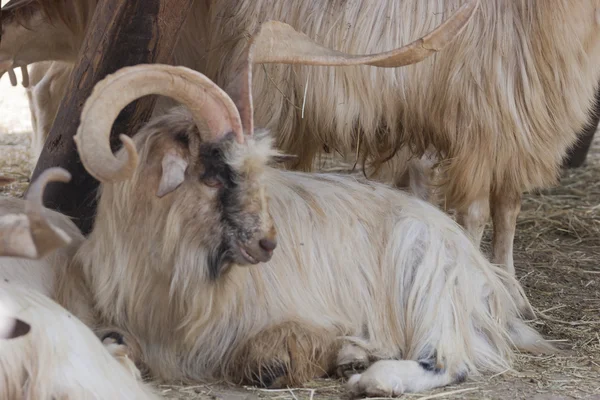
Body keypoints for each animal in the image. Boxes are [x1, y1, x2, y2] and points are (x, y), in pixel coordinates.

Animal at [63, 23, 552, 396]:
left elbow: (271, 360)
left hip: (427, 275)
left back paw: (373, 378)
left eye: (259, 170)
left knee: (451, 360)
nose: (268, 244)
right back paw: (356, 356)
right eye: (214, 175)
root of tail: (486, 280)